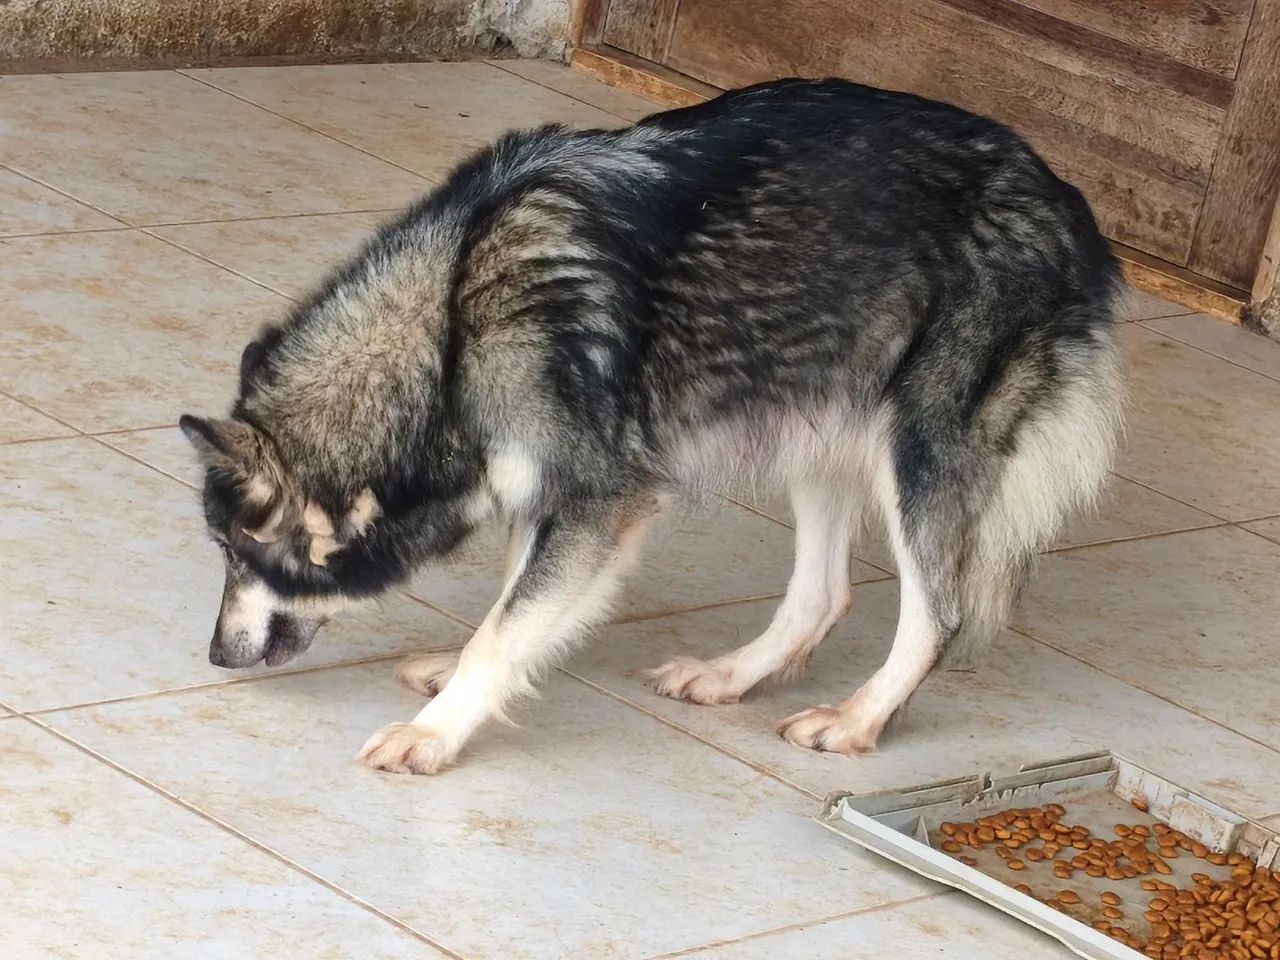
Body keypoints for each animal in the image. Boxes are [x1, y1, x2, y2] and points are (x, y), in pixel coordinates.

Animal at [180, 77, 1123, 775]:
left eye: (233, 553)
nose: (216, 659)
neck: (452, 323)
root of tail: (1065, 201)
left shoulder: (599, 503)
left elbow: (505, 626)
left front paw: (438, 729)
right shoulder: (552, 492)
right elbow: (511, 605)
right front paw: (459, 677)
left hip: (916, 456)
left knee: (938, 613)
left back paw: (857, 719)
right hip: (815, 429)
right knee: (823, 593)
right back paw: (731, 675)